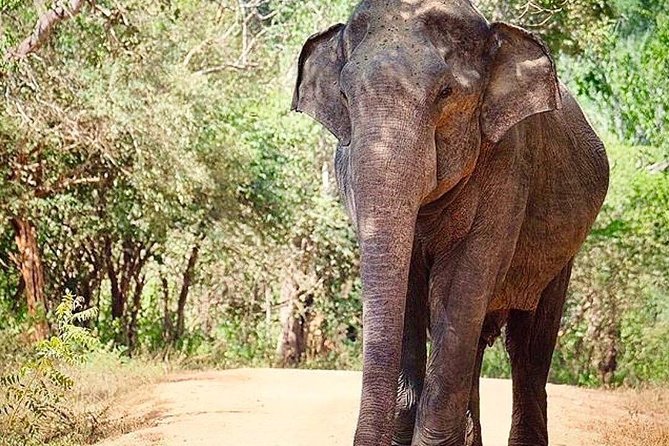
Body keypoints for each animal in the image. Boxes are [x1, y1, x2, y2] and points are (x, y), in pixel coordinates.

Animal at [291, 1, 609, 445]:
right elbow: (409, 293)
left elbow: (459, 287)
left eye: (445, 93)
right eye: (343, 95)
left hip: (562, 254)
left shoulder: (508, 168)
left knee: (528, 347)